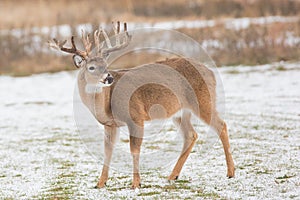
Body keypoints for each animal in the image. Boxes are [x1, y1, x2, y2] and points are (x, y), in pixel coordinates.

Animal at [48, 21, 234, 188]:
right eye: (91, 67)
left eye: (106, 65)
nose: (109, 77)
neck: (106, 104)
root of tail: (211, 72)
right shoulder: (110, 124)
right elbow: (108, 151)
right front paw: (100, 183)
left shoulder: (136, 116)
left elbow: (134, 150)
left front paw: (136, 183)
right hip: (180, 112)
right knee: (191, 135)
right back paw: (172, 176)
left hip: (203, 100)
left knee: (221, 125)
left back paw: (230, 172)